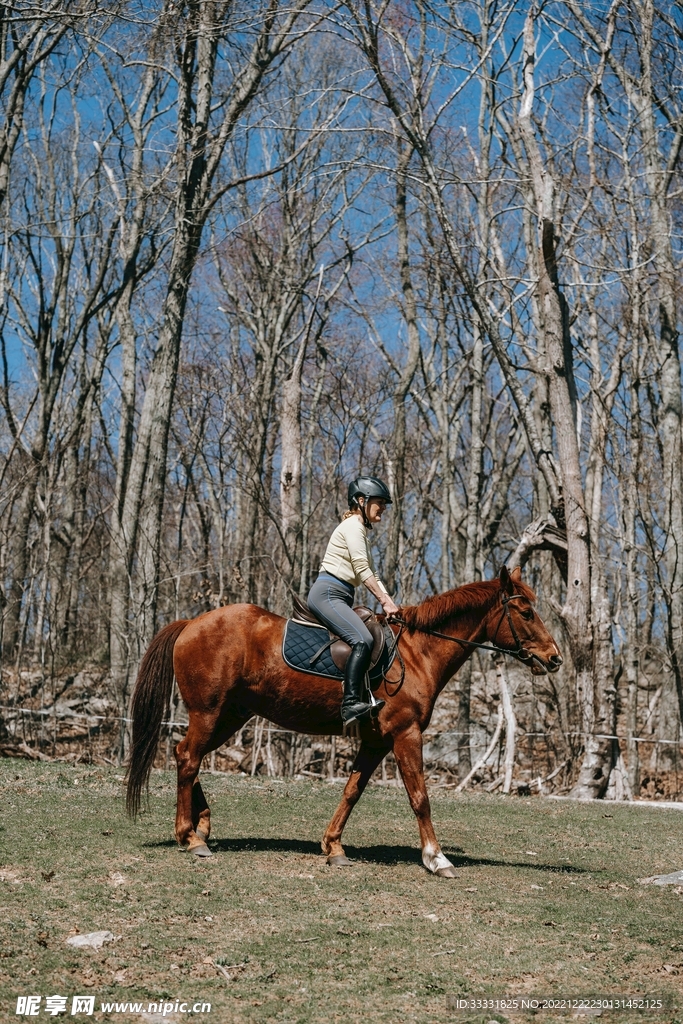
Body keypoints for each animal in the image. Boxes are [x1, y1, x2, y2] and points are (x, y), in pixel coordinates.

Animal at [126, 565, 562, 877]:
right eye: (526, 612)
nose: (554, 658)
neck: (416, 653)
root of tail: (191, 624)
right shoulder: (406, 735)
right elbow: (420, 797)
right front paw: (436, 859)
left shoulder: (377, 741)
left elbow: (352, 791)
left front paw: (333, 847)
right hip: (209, 712)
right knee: (188, 758)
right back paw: (190, 838)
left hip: (231, 716)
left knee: (187, 756)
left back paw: (201, 825)